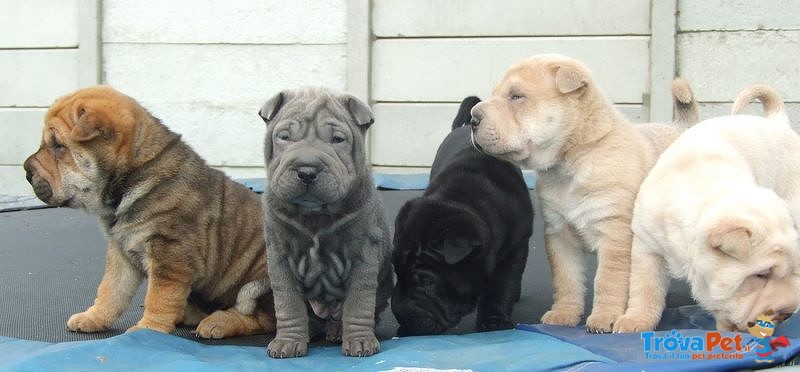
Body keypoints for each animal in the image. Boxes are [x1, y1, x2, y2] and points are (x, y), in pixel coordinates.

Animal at [21, 87, 276, 340]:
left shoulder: (170, 255)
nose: (26, 171)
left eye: (58, 146)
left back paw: (218, 322)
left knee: (261, 319)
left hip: (260, 283)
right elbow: (111, 291)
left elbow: (159, 298)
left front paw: (147, 331)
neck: (135, 176)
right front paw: (92, 317)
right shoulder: (121, 253)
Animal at [258, 86, 392, 358]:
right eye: (285, 137)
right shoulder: (280, 258)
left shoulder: (363, 256)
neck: (314, 216)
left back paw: (338, 330)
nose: (307, 170)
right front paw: (287, 342)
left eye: (337, 140)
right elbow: (288, 304)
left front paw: (360, 342)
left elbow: (358, 303)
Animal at [392, 95, 536, 334]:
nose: (400, 315)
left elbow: (502, 285)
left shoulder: (515, 246)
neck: (460, 199)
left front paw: (494, 321)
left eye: (426, 283)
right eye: (396, 272)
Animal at [472, 53, 696, 332]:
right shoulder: (559, 235)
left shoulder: (614, 233)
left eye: (516, 96)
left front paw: (603, 318)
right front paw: (563, 314)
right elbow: (566, 280)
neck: (572, 161)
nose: (473, 118)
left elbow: (608, 281)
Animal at [616, 85, 800, 332]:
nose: (788, 313)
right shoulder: (647, 244)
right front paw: (635, 321)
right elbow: (645, 287)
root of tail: (777, 122)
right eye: (761, 275)